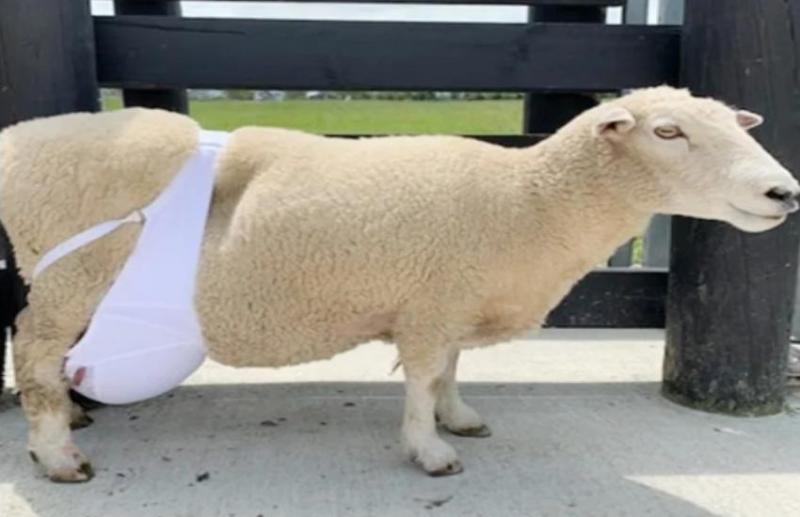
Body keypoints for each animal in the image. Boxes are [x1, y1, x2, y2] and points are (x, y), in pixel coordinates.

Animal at [1, 86, 798, 482]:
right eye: (667, 132)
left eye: (735, 124)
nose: (784, 193)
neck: (529, 200)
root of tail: (21, 135)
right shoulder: (429, 304)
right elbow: (419, 377)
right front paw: (430, 450)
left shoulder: (450, 297)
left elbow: (449, 369)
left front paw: (458, 415)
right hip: (71, 275)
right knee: (34, 353)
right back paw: (57, 452)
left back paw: (68, 421)